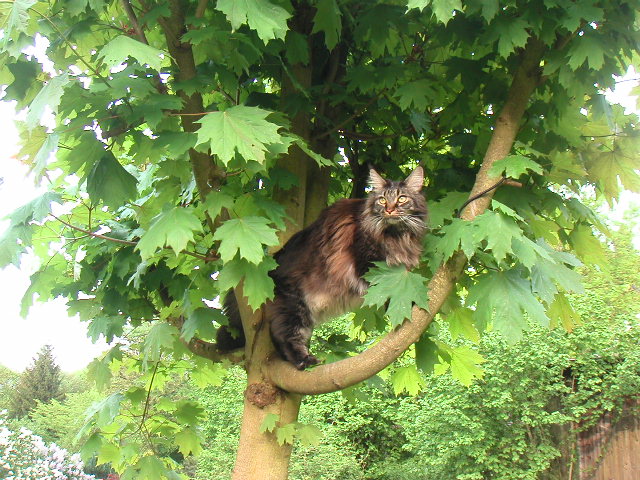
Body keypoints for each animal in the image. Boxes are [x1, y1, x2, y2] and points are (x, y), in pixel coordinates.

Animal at [216, 167, 430, 370]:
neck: (396, 235)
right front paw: (407, 304)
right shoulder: (367, 265)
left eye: (402, 198)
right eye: (382, 199)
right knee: (284, 335)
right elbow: (386, 290)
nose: (390, 210)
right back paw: (304, 361)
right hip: (294, 306)